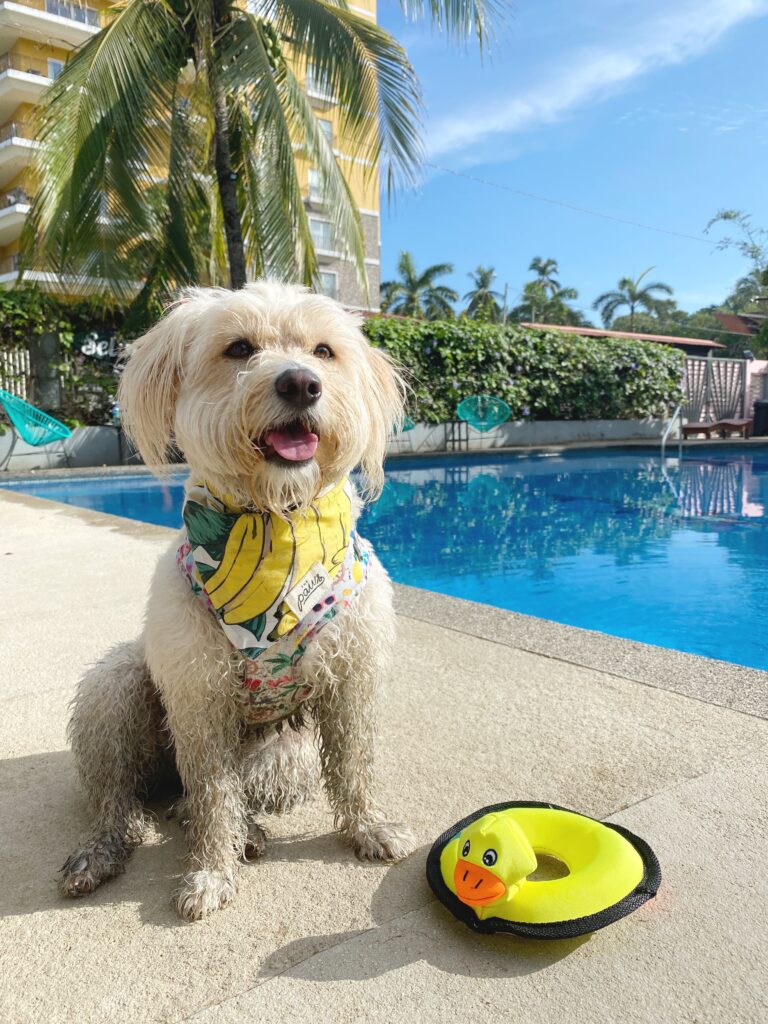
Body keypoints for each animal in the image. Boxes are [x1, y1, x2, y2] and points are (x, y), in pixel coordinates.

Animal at [63, 278, 417, 921]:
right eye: (239, 348)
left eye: (323, 351)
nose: (301, 383)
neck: (279, 524)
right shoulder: (198, 698)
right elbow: (211, 791)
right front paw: (209, 871)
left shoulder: (353, 676)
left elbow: (354, 765)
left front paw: (369, 829)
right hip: (116, 687)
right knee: (121, 797)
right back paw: (105, 848)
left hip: (286, 755)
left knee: (227, 793)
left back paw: (246, 832)